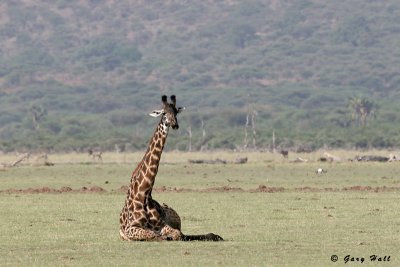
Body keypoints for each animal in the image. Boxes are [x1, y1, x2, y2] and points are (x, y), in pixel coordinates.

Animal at [119, 96, 223, 243]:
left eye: (176, 112)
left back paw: (214, 236)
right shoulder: (130, 228)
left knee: (184, 233)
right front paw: (163, 237)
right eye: (164, 113)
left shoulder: (163, 225)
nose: (174, 124)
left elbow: (175, 233)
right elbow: (154, 235)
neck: (144, 193)